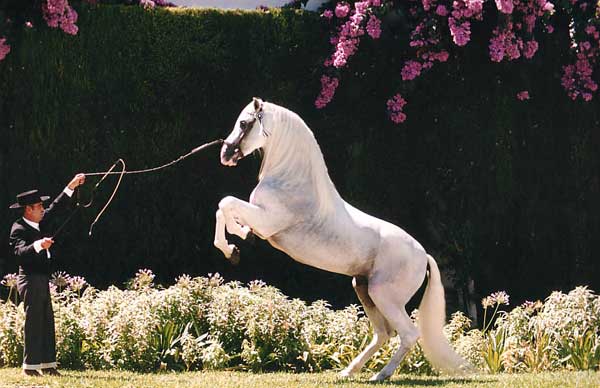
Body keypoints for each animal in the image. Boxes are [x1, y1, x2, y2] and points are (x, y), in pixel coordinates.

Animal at [213, 98, 472, 380]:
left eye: (244, 123)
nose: (225, 155)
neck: (292, 182)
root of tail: (424, 255)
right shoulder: (260, 220)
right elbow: (224, 209)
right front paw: (235, 244)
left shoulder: (267, 222)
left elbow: (226, 203)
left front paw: (236, 243)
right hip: (363, 289)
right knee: (383, 334)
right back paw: (349, 371)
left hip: (384, 296)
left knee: (408, 334)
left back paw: (381, 375)